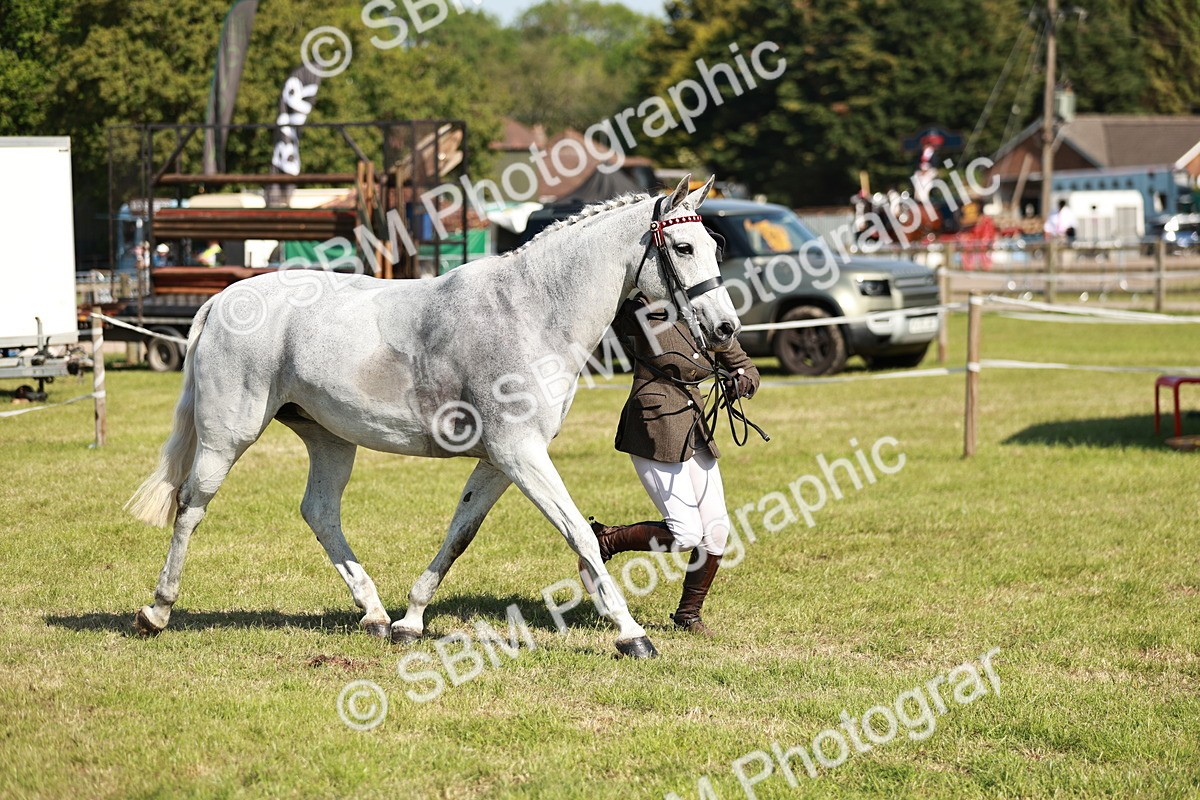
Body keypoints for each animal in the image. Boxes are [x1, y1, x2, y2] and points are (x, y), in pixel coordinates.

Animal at [126, 174, 739, 658]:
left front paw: (410, 621)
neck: (532, 310)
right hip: (226, 438)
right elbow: (579, 538)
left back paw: (374, 615)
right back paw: (156, 611)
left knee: (319, 512)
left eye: (714, 245)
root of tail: (221, 299)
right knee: (192, 506)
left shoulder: (500, 460)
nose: (726, 328)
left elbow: (459, 534)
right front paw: (632, 635)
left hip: (329, 439)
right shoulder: (521, 454)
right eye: (683, 246)